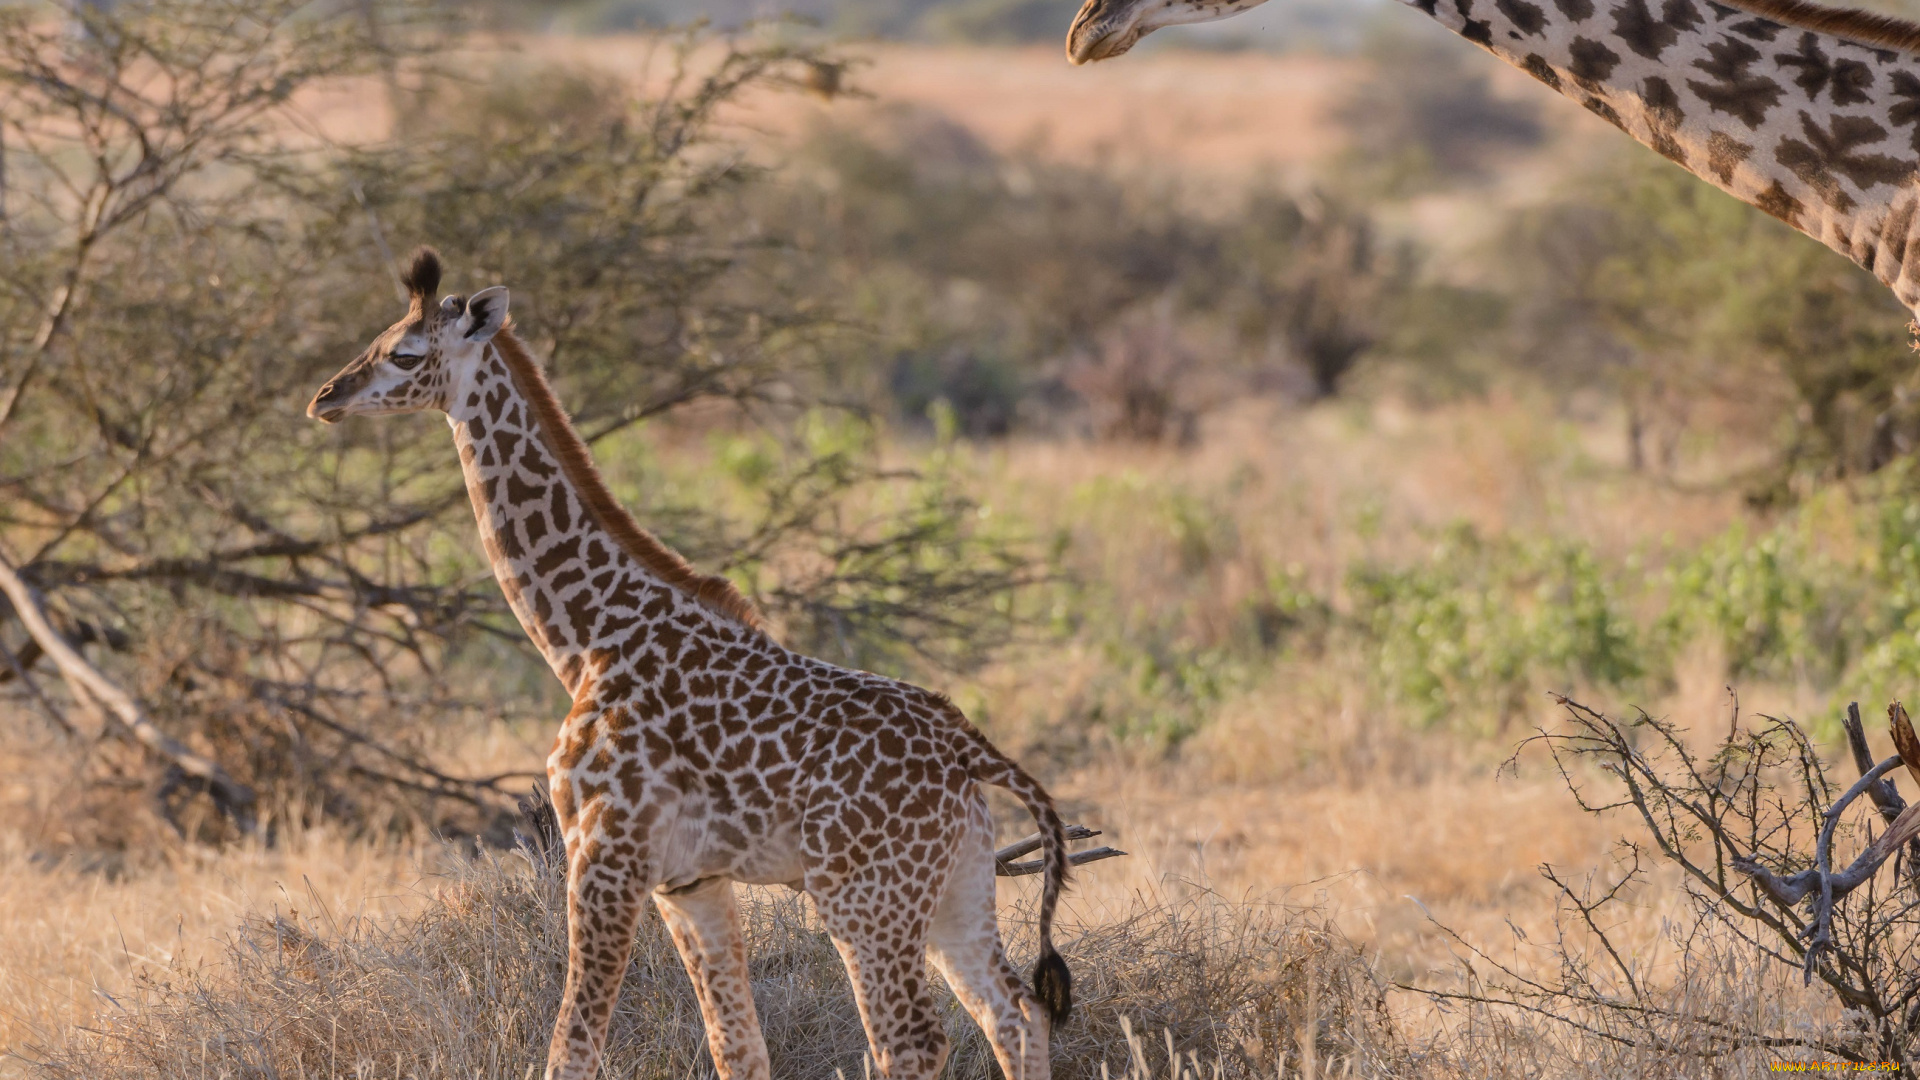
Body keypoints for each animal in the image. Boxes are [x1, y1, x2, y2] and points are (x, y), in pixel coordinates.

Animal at [307, 247, 1075, 1076]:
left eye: (404, 352)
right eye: (378, 337)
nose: (325, 397)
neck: (587, 638)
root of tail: (973, 752)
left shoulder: (605, 852)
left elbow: (571, 1047)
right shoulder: (690, 881)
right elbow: (737, 1048)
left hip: (865, 898)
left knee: (912, 1041)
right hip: (956, 887)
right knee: (1016, 1013)